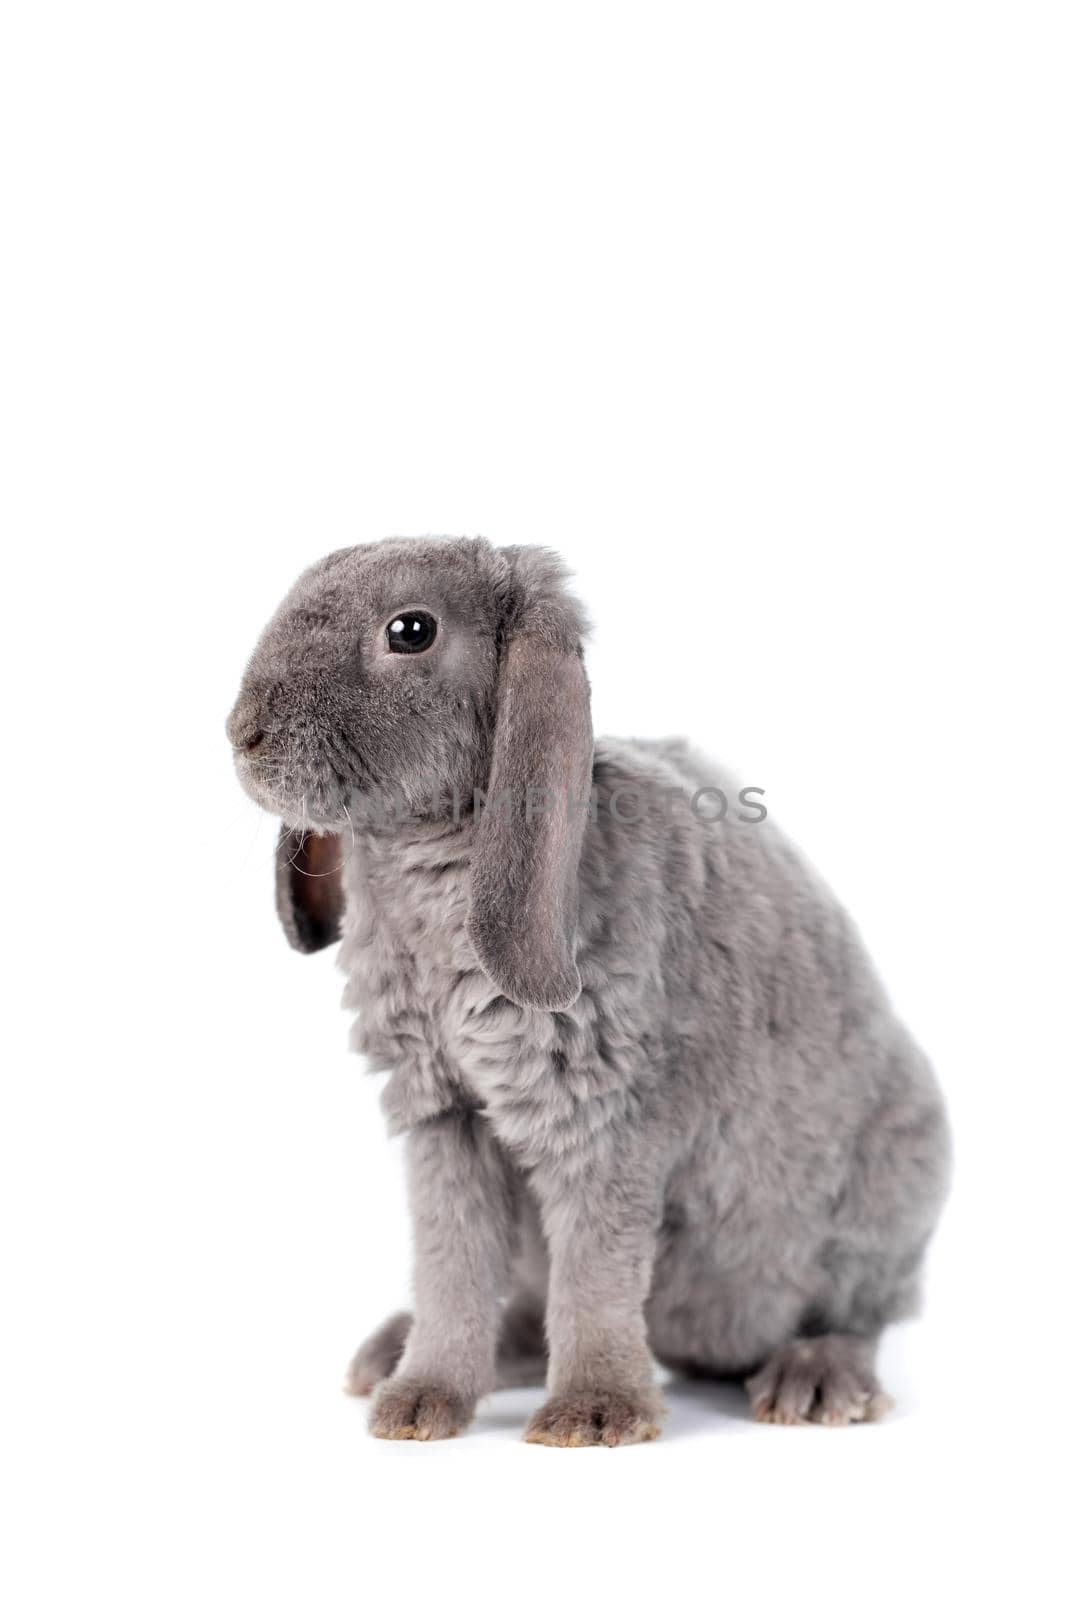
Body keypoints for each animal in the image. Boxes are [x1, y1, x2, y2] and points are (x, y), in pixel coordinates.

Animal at [225, 537, 947, 1452]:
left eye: (411, 631)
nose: (241, 733)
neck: (434, 869)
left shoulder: (604, 1123)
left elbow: (595, 1275)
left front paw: (595, 1415)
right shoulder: (444, 1116)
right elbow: (451, 1266)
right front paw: (420, 1402)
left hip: (887, 1198)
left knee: (856, 1314)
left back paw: (814, 1383)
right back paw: (390, 1354)